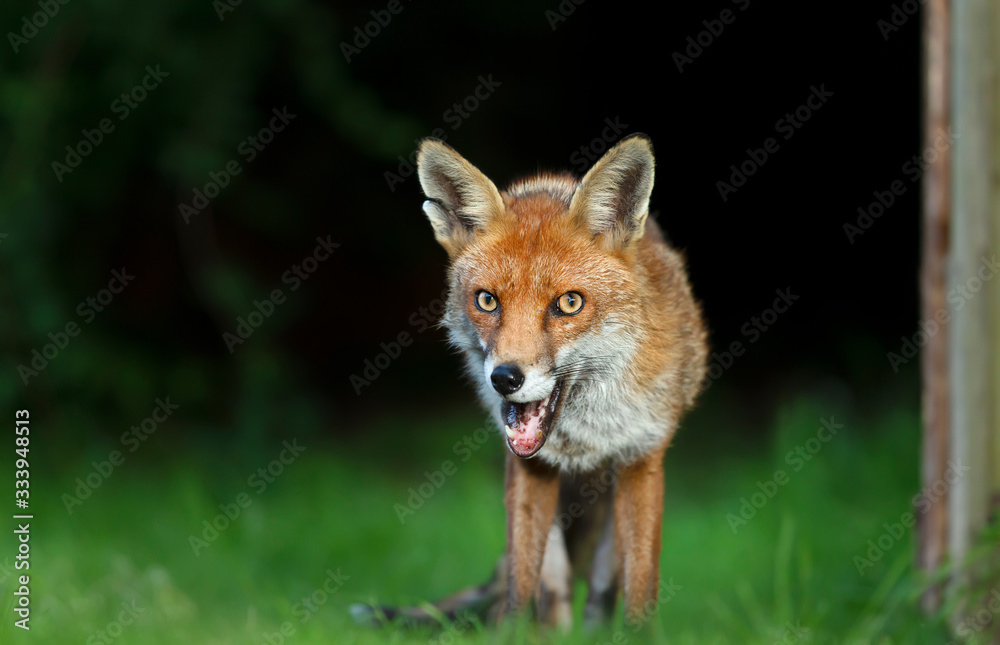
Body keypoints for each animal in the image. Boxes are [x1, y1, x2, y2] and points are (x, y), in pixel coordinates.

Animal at [356, 132, 708, 628]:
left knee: (600, 592)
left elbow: (640, 589)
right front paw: (512, 633)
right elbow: (520, 589)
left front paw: (640, 633)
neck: (584, 436)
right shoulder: (527, 467)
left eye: (569, 303)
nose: (504, 378)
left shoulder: (642, 458)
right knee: (552, 594)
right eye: (487, 300)